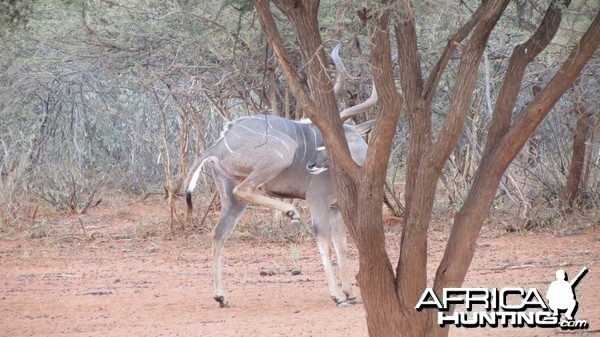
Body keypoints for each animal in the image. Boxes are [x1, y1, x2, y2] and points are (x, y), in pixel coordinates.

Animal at [184, 44, 380, 308]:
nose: (311, 164)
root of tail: (219, 144)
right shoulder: (318, 201)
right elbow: (325, 243)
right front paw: (338, 296)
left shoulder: (336, 207)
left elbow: (341, 245)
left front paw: (350, 293)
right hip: (280, 156)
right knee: (245, 191)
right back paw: (291, 213)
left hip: (231, 201)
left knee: (218, 234)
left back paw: (221, 297)